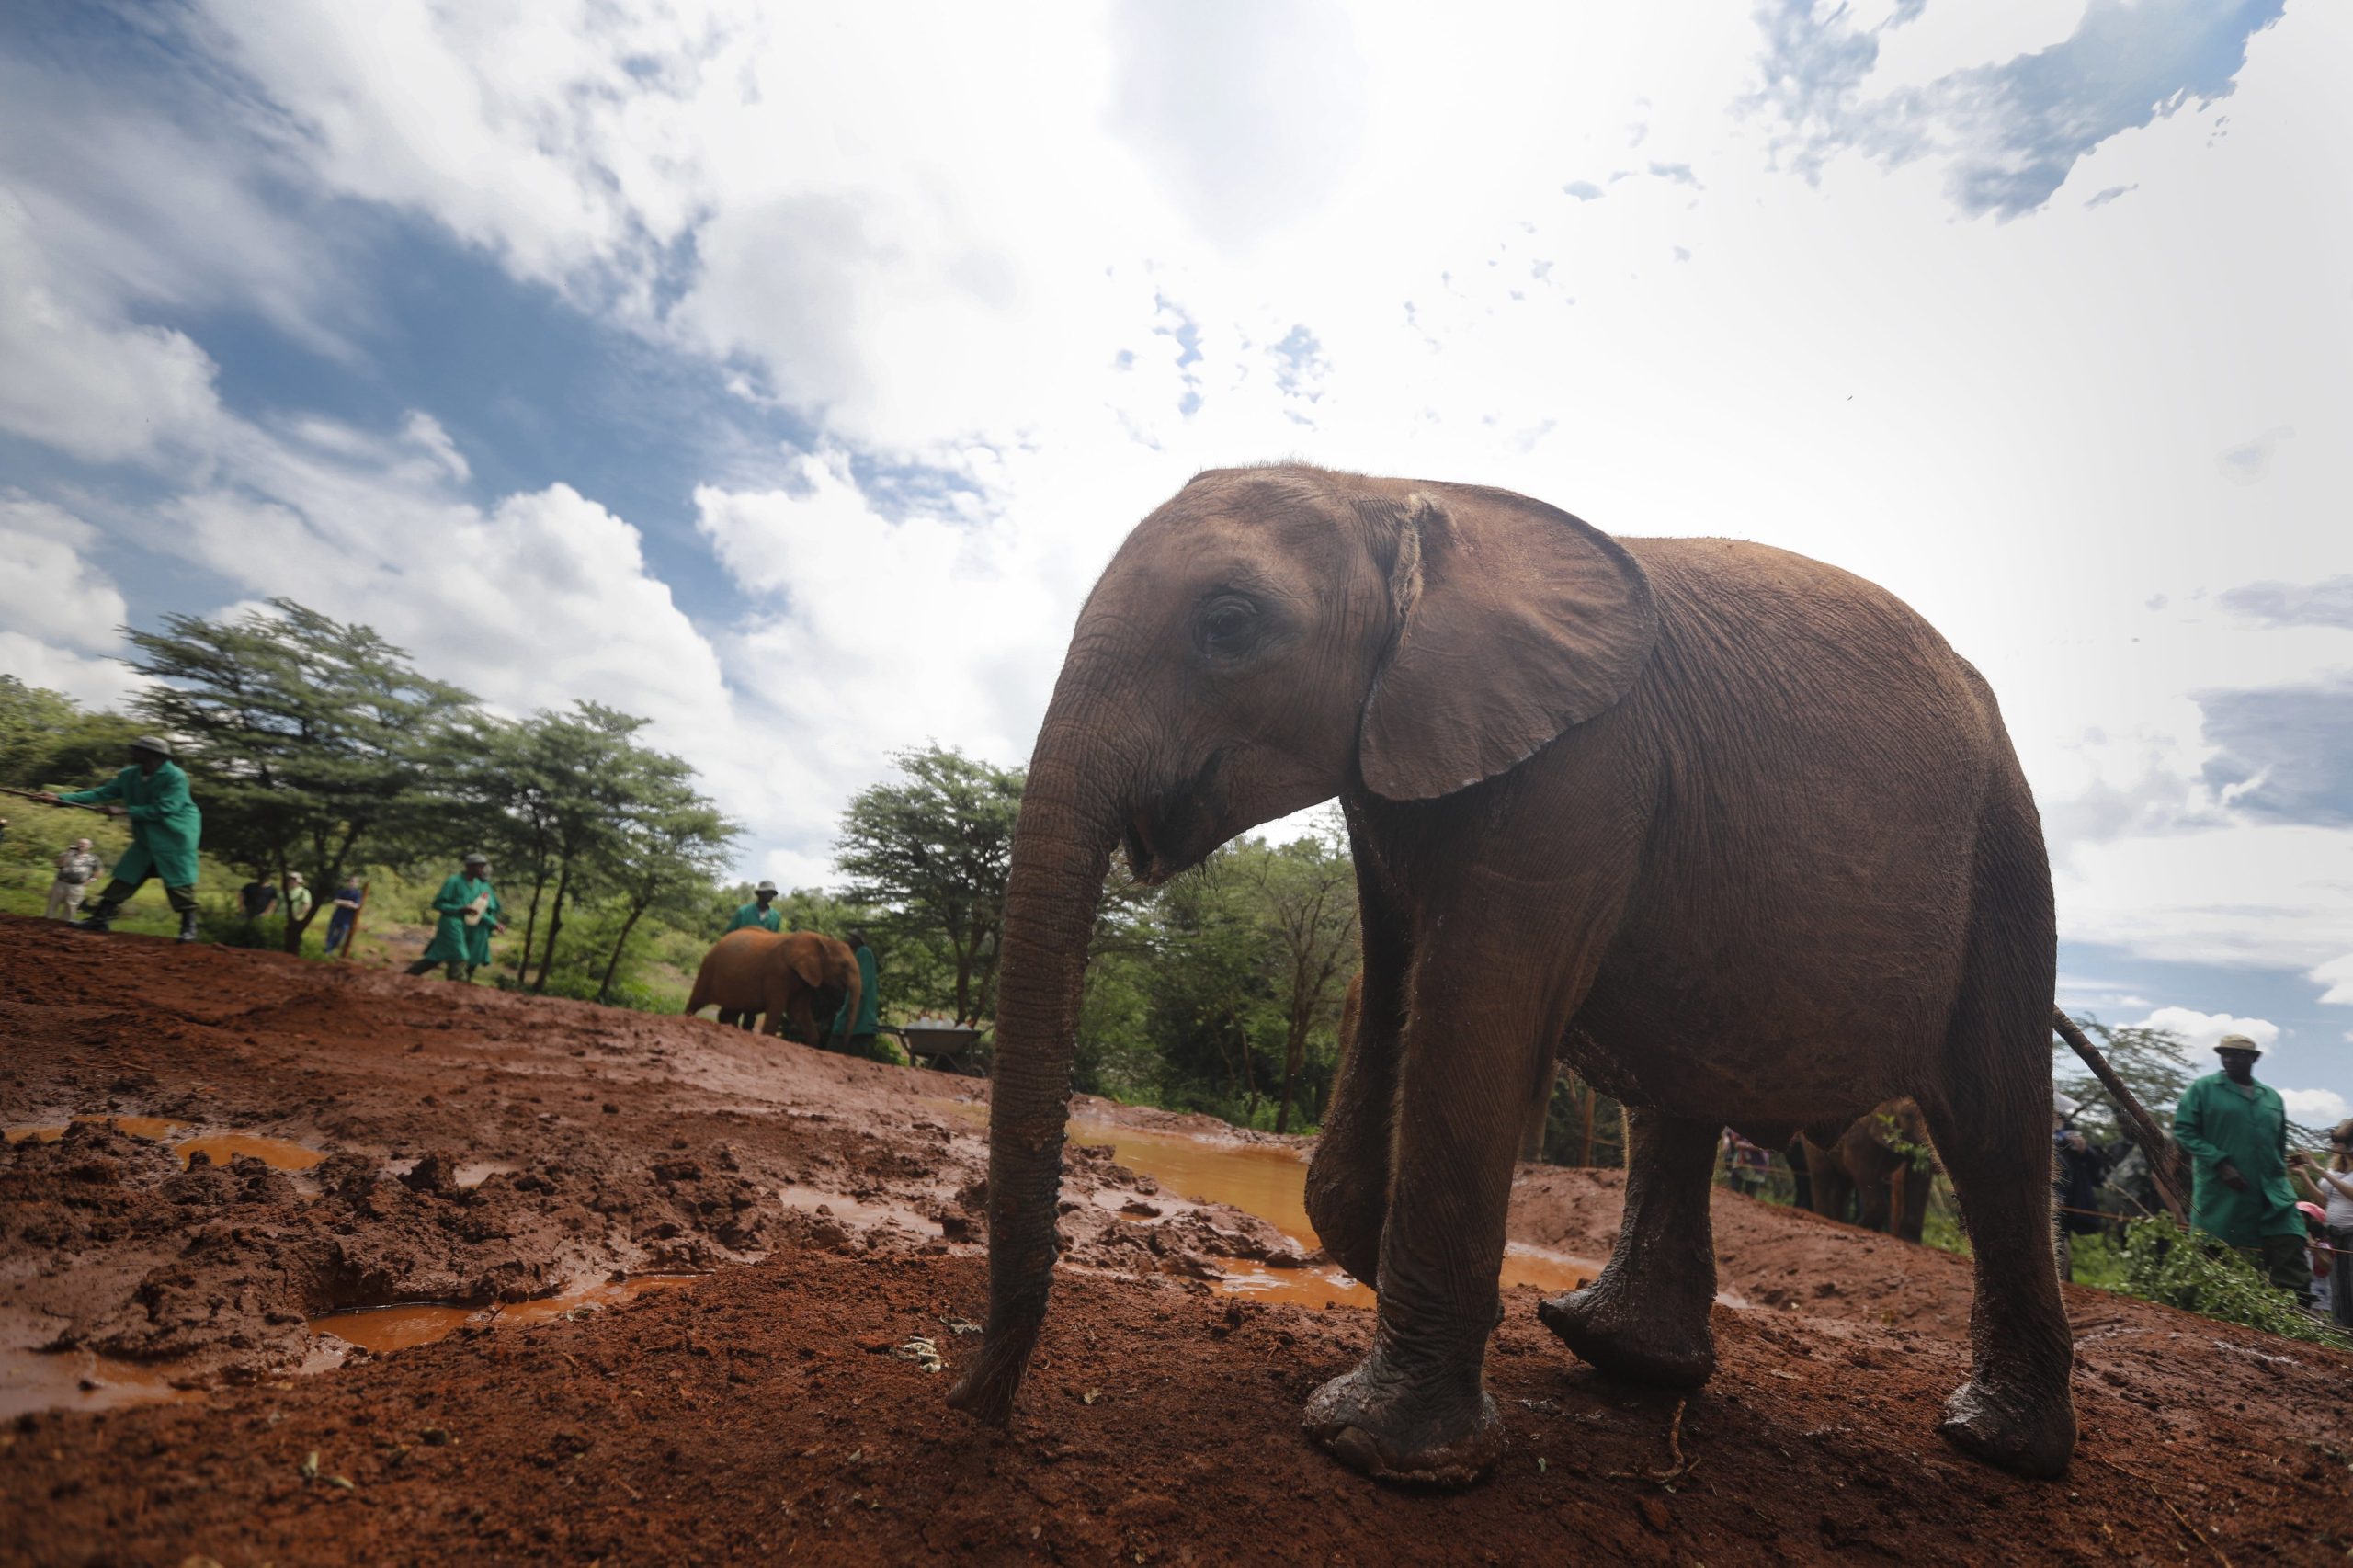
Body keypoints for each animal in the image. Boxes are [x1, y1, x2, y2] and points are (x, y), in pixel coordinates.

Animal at [684, 929, 861, 1046]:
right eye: (844, 966)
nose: (844, 1045)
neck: (823, 940)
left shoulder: (806, 978)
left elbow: (799, 1011)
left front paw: (813, 1044)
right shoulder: (778, 973)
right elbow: (777, 1008)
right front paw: (768, 1037)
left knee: (730, 1011)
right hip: (709, 968)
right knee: (696, 1001)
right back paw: (686, 1018)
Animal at [1802, 1099, 1937, 1244]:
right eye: (1908, 1116)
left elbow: (1918, 1180)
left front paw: (1909, 1240)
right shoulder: (1861, 1134)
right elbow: (1859, 1165)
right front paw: (1861, 1226)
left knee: (1842, 1185)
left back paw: (1837, 1221)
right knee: (1822, 1175)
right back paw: (1827, 1218)